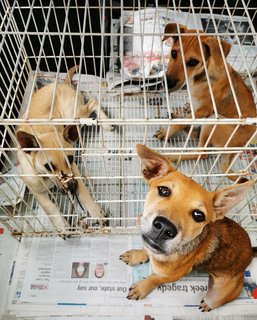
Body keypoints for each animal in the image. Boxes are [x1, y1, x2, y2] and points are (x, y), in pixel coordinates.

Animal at [16, 67, 112, 232]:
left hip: (72, 115)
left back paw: (106, 122)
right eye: (48, 166)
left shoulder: (75, 171)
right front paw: (62, 226)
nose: (72, 188)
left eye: (71, 158)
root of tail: (61, 83)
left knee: (93, 102)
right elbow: (49, 207)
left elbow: (84, 192)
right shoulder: (35, 189)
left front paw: (95, 211)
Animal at [119, 145, 255, 312]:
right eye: (164, 190)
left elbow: (154, 278)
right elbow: (146, 249)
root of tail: (251, 252)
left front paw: (142, 287)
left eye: (199, 215)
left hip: (225, 289)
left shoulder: (171, 276)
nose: (164, 228)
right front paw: (136, 255)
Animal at [153, 23, 255, 182]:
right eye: (174, 53)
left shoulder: (204, 111)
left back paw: (171, 156)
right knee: (195, 134)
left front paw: (167, 132)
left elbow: (181, 122)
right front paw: (187, 108)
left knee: (202, 153)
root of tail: (239, 146)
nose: (166, 83)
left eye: (193, 62)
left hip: (213, 121)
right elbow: (188, 116)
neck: (201, 77)